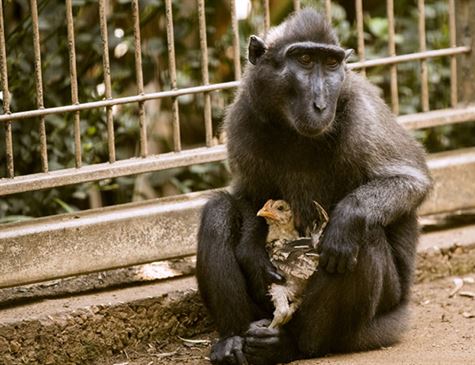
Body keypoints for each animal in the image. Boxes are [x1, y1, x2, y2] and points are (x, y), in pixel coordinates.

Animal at [196, 8, 432, 364]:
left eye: (332, 64)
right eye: (305, 59)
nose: (321, 104)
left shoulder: (362, 112)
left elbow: (411, 180)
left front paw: (347, 218)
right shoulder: (242, 117)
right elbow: (249, 194)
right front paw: (252, 250)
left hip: (383, 302)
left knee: (360, 235)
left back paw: (291, 344)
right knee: (218, 211)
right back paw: (233, 339)